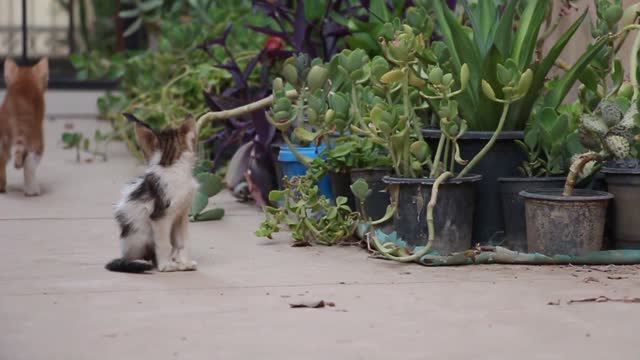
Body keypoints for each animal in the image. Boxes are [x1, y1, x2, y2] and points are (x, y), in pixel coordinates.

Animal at [0, 57, 48, 195]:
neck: (24, 83)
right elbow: (29, 165)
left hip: (3, 137)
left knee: (2, 159)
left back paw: (1, 187)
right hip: (36, 138)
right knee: (30, 163)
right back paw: (32, 191)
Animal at [105, 114, 200, 272]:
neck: (172, 167)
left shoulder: (181, 214)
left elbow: (182, 242)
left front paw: (185, 262)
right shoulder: (159, 217)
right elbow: (164, 243)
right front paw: (165, 265)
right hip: (140, 235)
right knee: (142, 256)